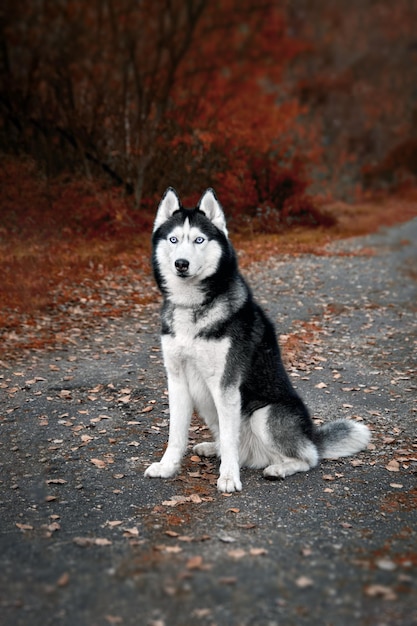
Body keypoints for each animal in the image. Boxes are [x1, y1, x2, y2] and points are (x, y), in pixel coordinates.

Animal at [144, 188, 370, 490]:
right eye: (174, 239)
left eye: (199, 240)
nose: (181, 264)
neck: (193, 306)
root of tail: (311, 435)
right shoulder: (177, 380)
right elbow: (176, 434)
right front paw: (167, 467)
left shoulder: (226, 385)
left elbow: (230, 439)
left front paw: (229, 477)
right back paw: (213, 448)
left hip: (265, 414)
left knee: (307, 458)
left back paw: (278, 468)